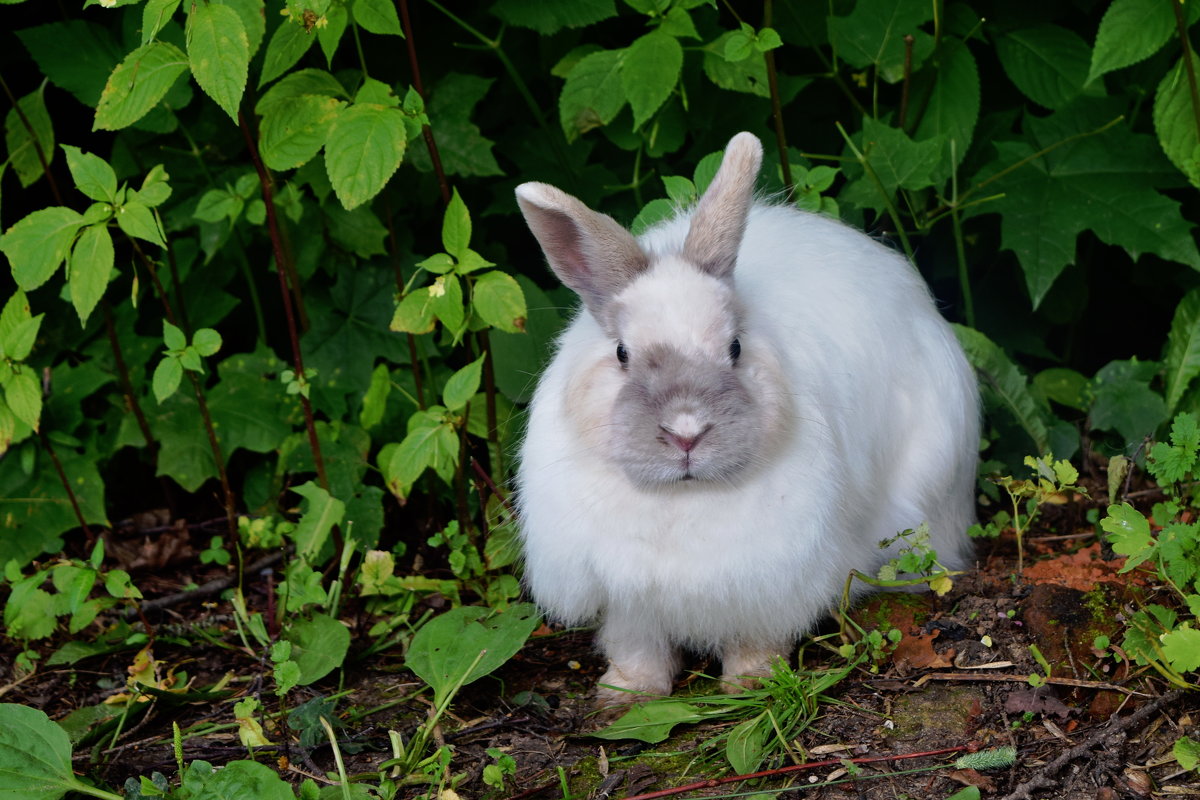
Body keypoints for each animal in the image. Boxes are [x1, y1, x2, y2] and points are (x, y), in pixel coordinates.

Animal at [511, 131, 979, 705]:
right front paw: (627, 693)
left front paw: (750, 683)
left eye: (735, 348)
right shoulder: (626, 594)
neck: (682, 499)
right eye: (622, 353)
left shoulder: (770, 579)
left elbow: (756, 637)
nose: (686, 432)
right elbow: (636, 644)